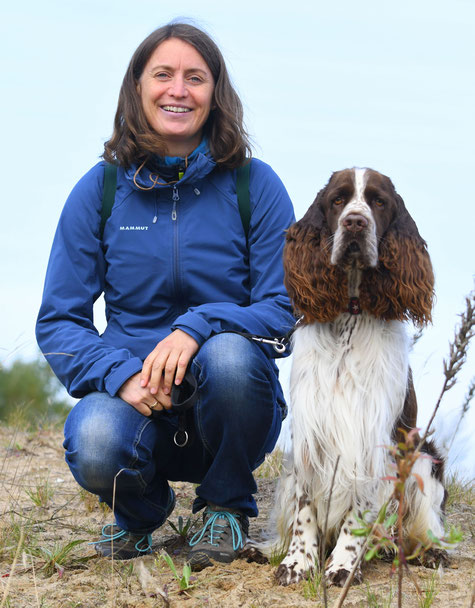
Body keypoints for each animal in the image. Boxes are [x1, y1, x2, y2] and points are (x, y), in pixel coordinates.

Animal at [247, 169, 448, 588]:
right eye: (338, 200)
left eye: (379, 202)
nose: (355, 222)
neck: (350, 316)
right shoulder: (311, 433)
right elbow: (305, 508)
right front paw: (297, 562)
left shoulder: (372, 437)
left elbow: (359, 511)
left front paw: (342, 565)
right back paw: (266, 549)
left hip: (422, 458)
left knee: (417, 528)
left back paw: (421, 550)